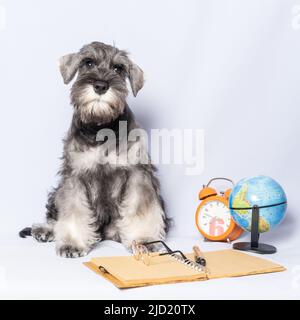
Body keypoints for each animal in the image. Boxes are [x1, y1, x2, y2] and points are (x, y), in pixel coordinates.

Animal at [19, 42, 170, 258]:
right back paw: (45, 230)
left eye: (118, 68)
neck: (100, 127)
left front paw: (145, 240)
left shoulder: (137, 174)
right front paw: (72, 243)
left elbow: (140, 208)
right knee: (54, 215)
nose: (100, 85)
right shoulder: (74, 176)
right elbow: (73, 210)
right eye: (88, 62)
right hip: (56, 193)